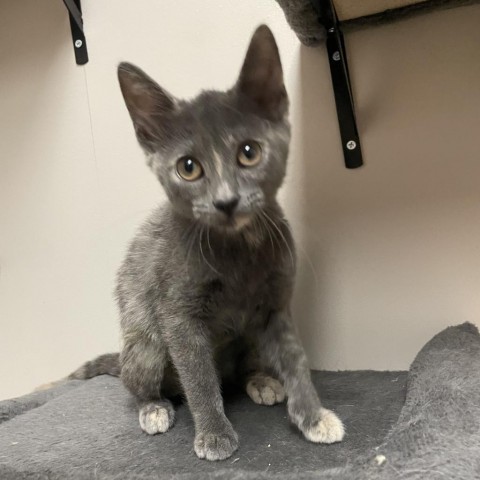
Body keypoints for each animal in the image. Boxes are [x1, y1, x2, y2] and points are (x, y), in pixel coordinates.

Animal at [70, 25, 342, 462]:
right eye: (188, 167)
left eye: (249, 152)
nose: (226, 200)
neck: (238, 252)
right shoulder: (177, 315)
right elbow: (198, 376)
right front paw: (214, 434)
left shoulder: (276, 306)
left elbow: (296, 359)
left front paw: (313, 417)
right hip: (145, 343)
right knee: (142, 381)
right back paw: (154, 407)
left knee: (241, 368)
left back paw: (260, 379)